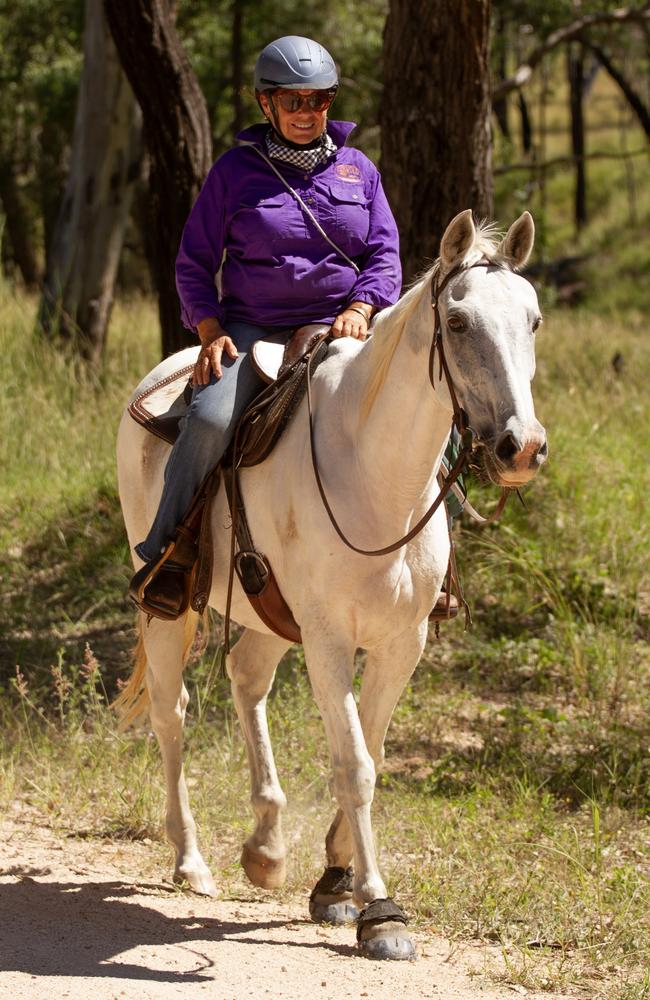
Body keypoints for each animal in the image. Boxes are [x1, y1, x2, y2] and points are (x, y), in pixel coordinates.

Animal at [116, 211, 548, 960]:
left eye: (534, 320)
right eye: (458, 322)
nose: (520, 447)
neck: (374, 475)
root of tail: (166, 374)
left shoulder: (403, 643)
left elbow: (372, 750)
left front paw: (335, 880)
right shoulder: (326, 641)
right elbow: (355, 765)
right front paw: (378, 908)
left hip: (265, 613)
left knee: (246, 678)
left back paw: (264, 847)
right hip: (167, 612)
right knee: (172, 716)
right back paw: (191, 861)